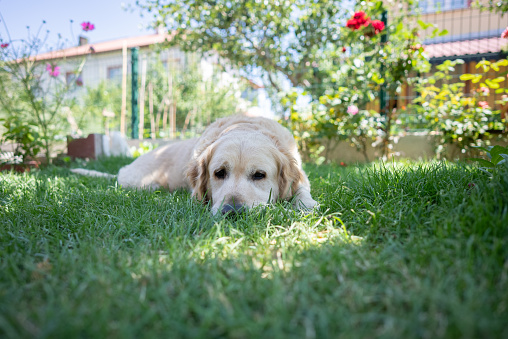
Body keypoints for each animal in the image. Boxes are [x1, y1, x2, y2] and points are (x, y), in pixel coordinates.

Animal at [72, 115, 318, 215]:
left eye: (259, 175)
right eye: (219, 173)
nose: (232, 212)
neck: (244, 125)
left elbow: (302, 191)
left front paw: (305, 205)